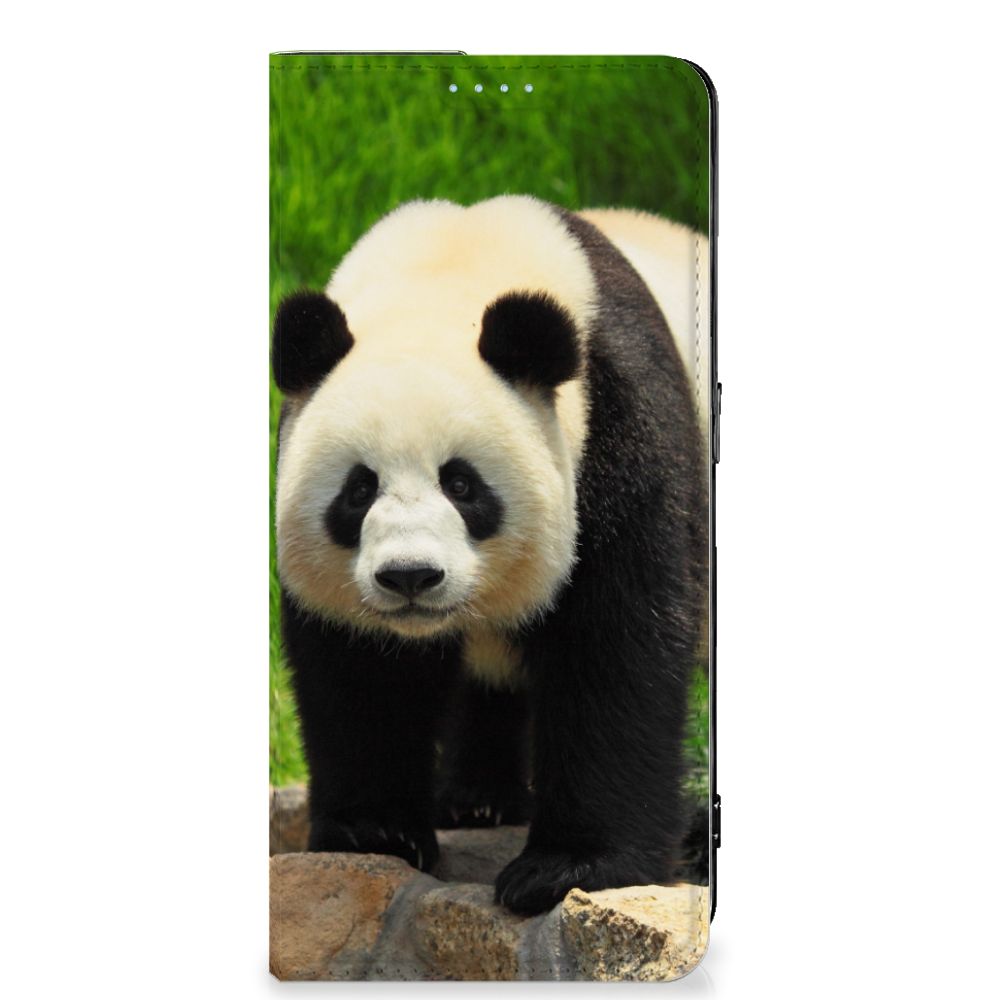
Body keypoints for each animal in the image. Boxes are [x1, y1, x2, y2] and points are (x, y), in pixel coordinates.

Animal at [272, 195, 708, 916]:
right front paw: (376, 831)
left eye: (462, 484)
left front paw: (567, 868)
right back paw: (477, 799)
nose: (410, 577)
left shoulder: (620, 428)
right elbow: (361, 670)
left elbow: (615, 647)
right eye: (359, 490)